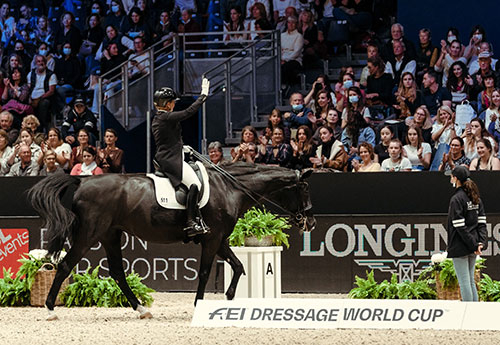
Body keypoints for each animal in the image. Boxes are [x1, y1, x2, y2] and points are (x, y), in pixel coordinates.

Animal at [27, 163, 314, 318]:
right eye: (304, 188)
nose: (310, 222)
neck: (229, 188)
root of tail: (82, 183)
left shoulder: (219, 239)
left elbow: (238, 266)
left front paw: (230, 298)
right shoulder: (212, 239)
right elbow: (205, 272)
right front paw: (200, 305)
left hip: (111, 235)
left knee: (118, 273)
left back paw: (141, 309)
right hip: (89, 234)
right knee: (66, 266)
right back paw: (50, 310)